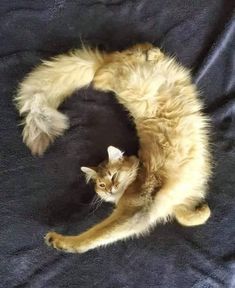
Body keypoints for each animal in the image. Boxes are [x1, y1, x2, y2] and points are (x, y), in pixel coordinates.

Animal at [15, 42, 212, 252]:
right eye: (101, 185)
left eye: (113, 176)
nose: (110, 189)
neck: (136, 176)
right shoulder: (174, 203)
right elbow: (188, 218)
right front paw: (201, 210)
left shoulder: (136, 212)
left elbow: (93, 236)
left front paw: (62, 242)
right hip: (115, 77)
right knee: (107, 69)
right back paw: (150, 54)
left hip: (121, 76)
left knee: (110, 66)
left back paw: (149, 54)